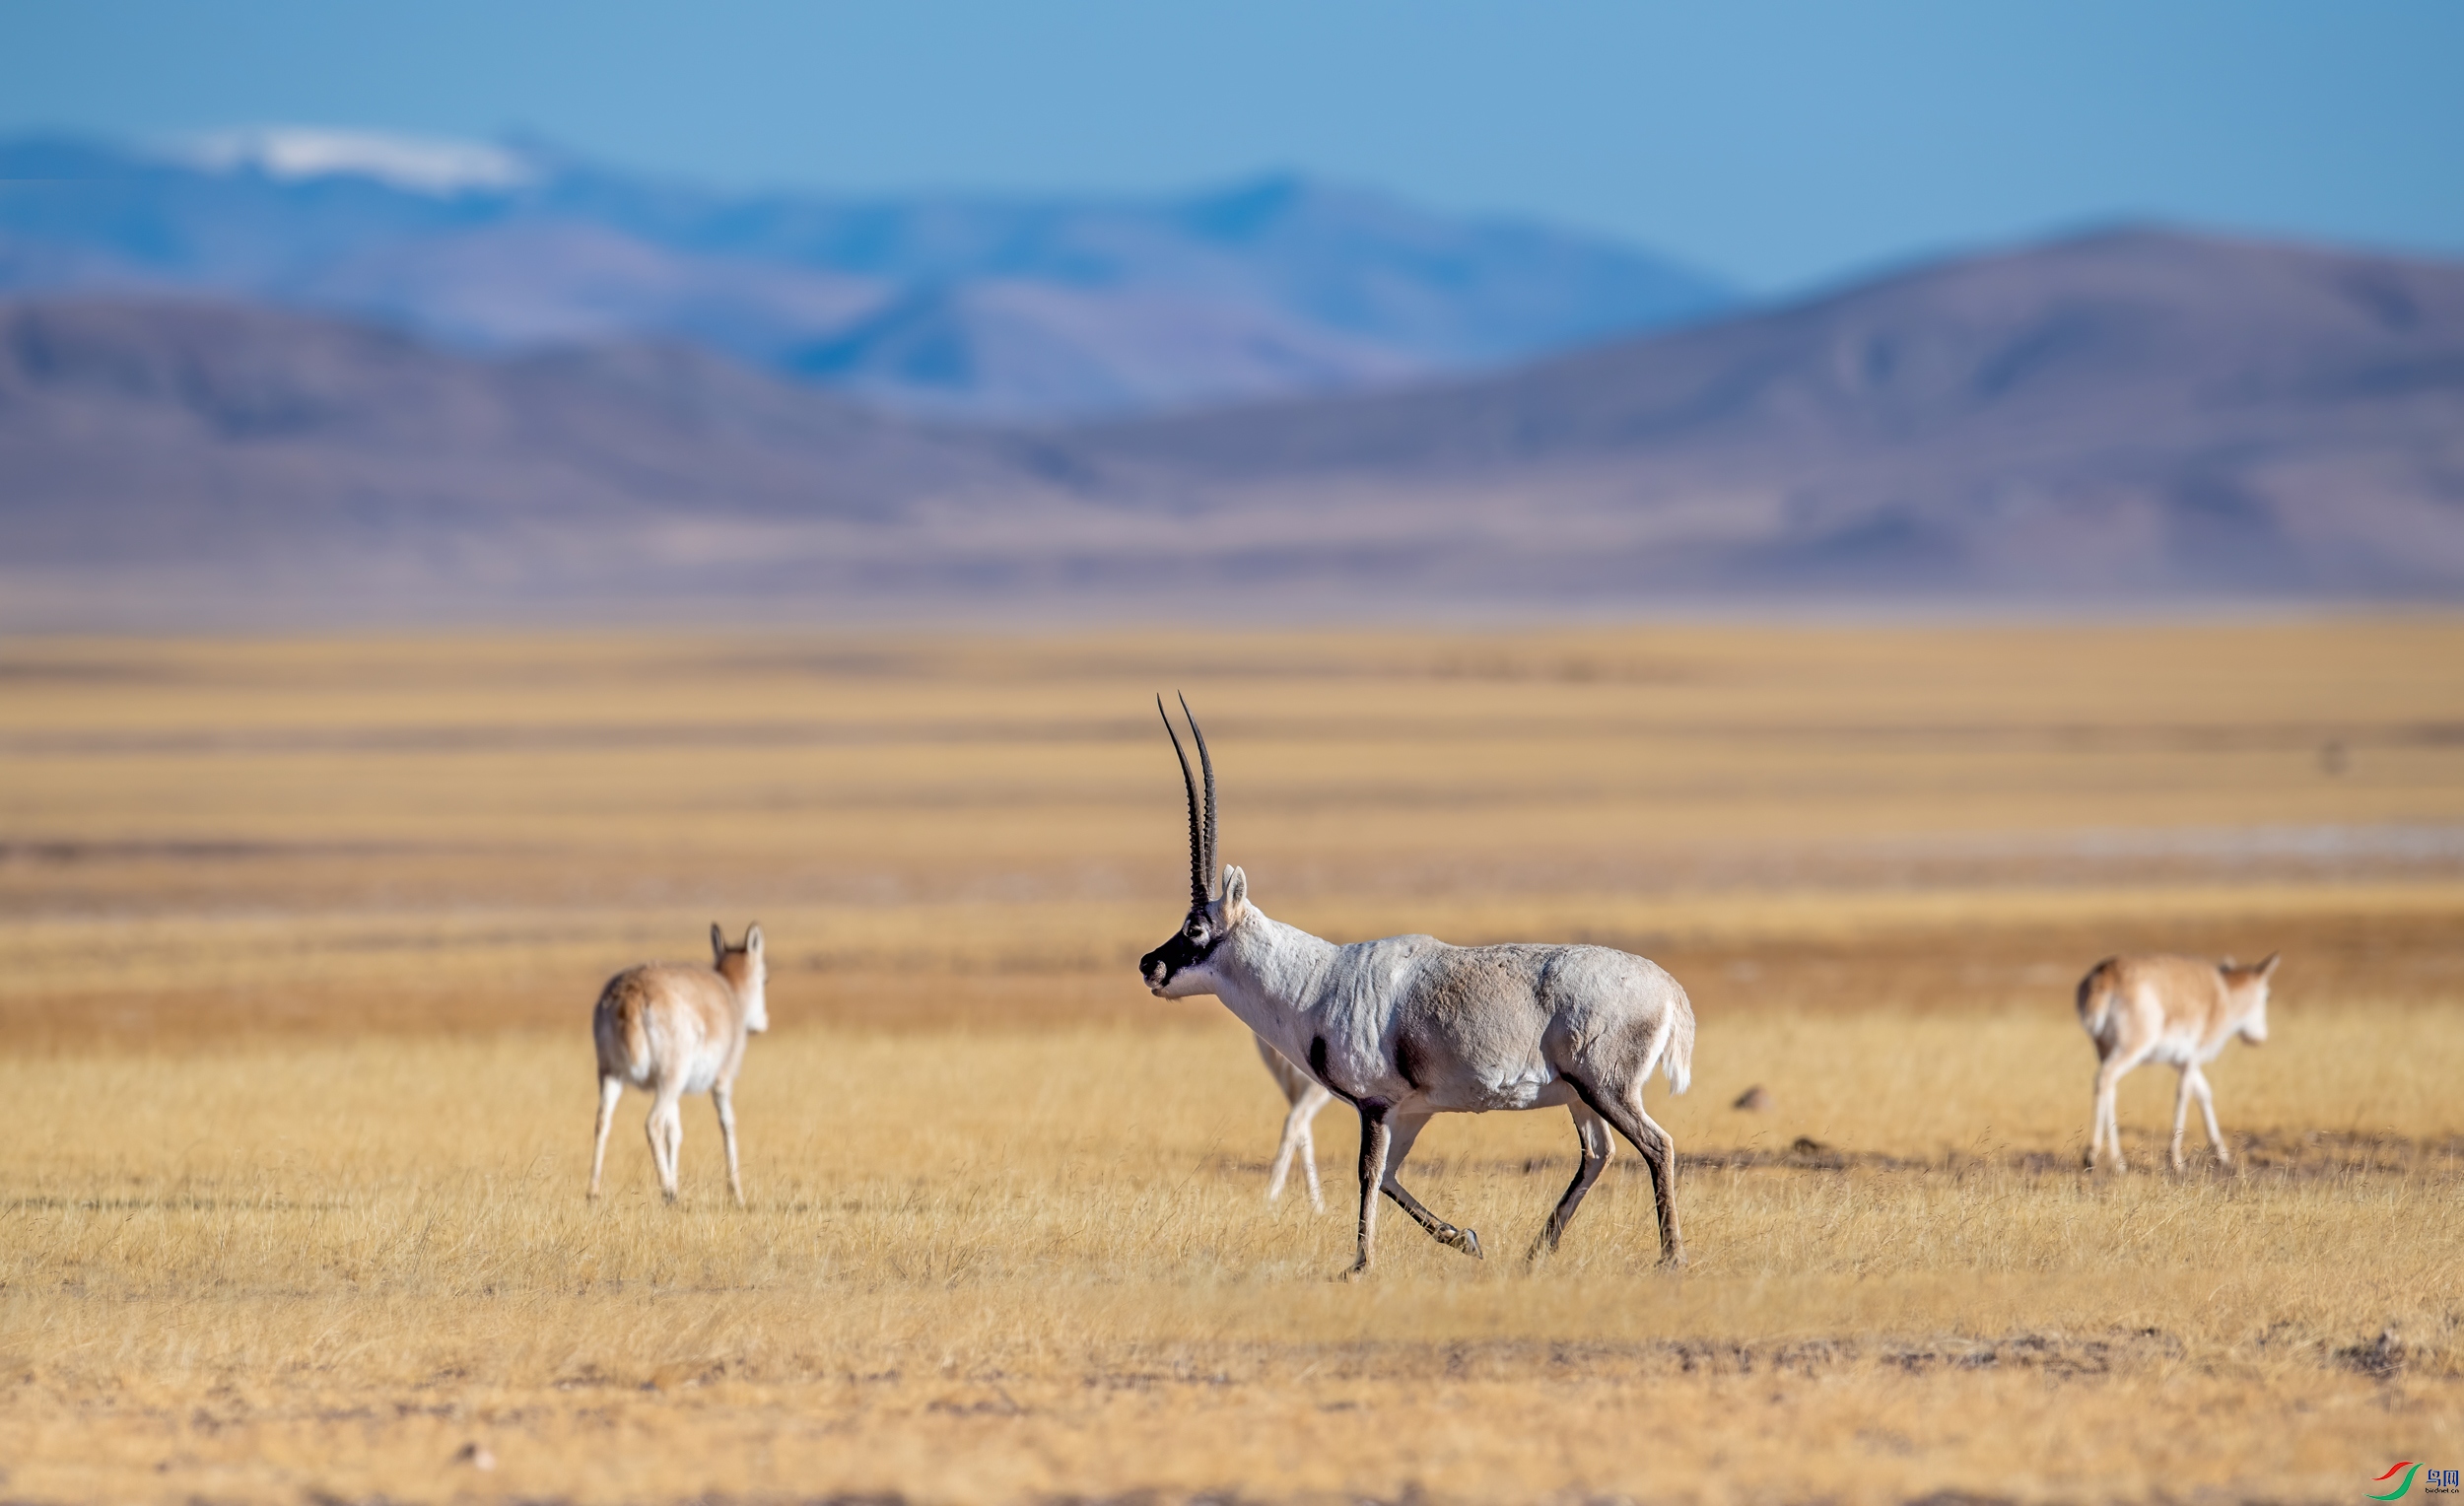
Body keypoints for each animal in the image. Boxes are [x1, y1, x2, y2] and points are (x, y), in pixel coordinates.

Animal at [588, 926, 764, 1207]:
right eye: (764, 978)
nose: (761, 1023)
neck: (729, 994)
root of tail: (630, 992)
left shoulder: (676, 1095)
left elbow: (675, 1132)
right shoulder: (721, 1082)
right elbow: (727, 1124)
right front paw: (737, 1194)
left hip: (613, 1076)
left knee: (603, 1121)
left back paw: (593, 1193)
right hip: (670, 1079)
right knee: (652, 1123)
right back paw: (668, 1192)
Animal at [2070, 956, 2277, 1178]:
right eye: (2267, 996)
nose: (2260, 1038)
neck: (2223, 994)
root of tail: (2106, 973)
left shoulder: (2180, 1062)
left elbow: (2204, 1093)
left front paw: (2222, 1156)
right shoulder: (2191, 1059)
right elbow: (2184, 1095)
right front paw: (2176, 1162)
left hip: (2104, 1051)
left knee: (2110, 1088)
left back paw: (2119, 1163)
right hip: (2130, 1049)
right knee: (2104, 1078)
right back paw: (2092, 1155)